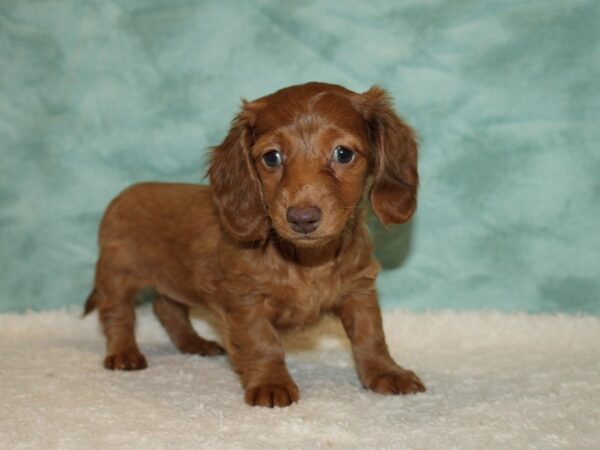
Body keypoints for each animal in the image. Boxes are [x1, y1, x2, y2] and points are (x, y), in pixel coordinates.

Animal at [85, 81, 426, 408]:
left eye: (343, 153)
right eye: (272, 157)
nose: (302, 218)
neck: (306, 258)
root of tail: (123, 195)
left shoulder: (359, 290)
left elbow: (371, 336)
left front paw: (386, 373)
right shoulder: (245, 298)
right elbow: (263, 342)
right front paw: (271, 384)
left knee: (166, 308)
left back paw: (195, 344)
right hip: (117, 275)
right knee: (117, 314)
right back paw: (123, 354)